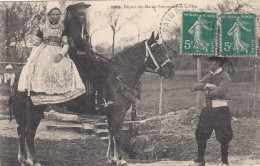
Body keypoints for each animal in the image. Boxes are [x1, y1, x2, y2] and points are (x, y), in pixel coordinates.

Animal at [9, 31, 175, 166]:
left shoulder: (110, 114)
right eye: (157, 49)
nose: (171, 70)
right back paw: (33, 160)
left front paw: (111, 158)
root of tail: (20, 73)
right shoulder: (119, 113)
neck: (118, 75)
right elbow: (118, 134)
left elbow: (111, 133)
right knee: (29, 132)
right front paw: (120, 159)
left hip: (24, 111)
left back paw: (23, 159)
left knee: (21, 131)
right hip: (34, 111)